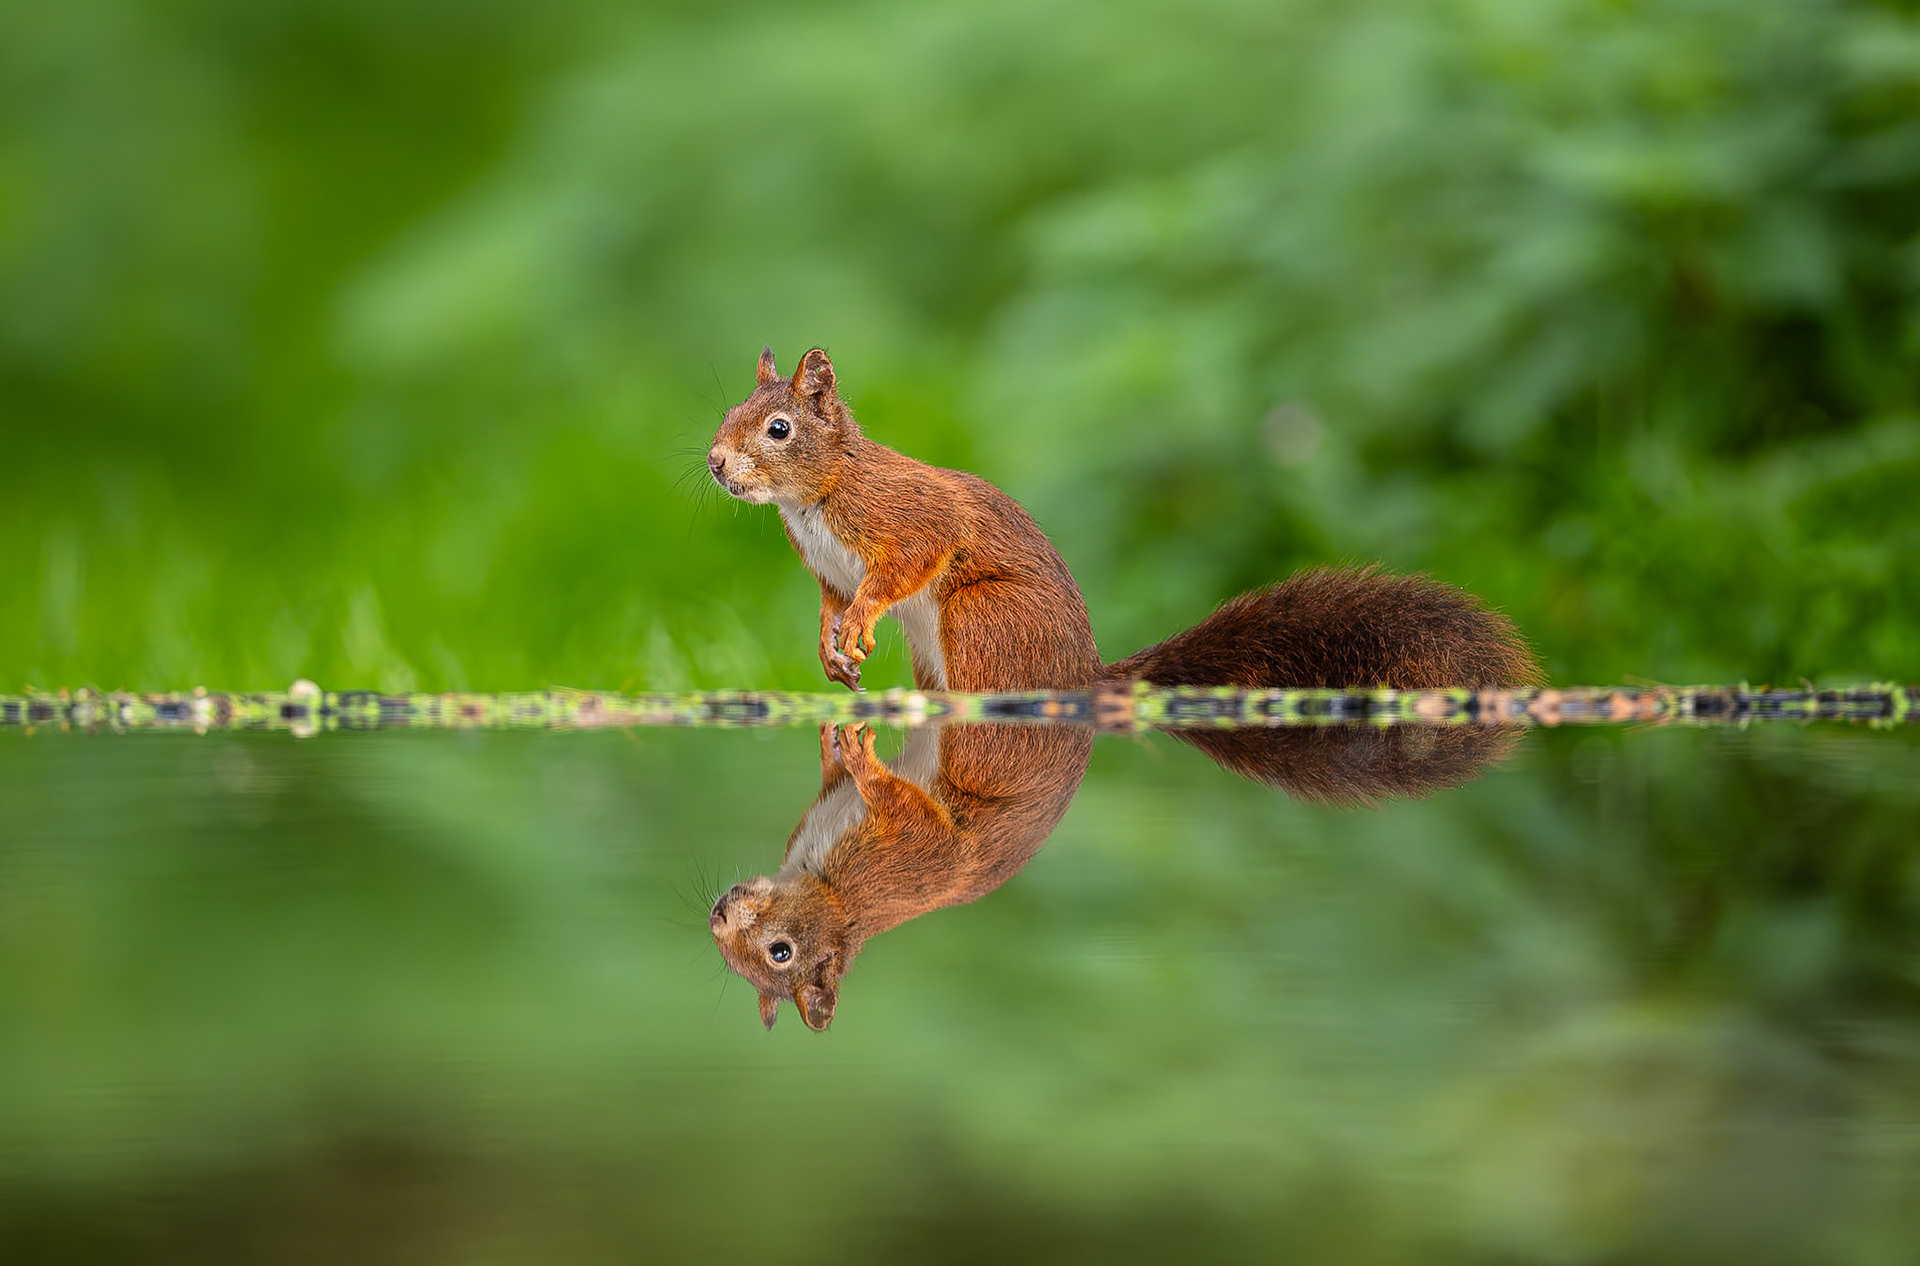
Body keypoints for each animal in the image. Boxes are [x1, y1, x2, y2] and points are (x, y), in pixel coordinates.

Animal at [705, 346, 1543, 1030]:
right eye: (728, 412)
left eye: (777, 428)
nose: (714, 463)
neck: (817, 496)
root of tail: (1084, 674)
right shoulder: (823, 573)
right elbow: (828, 607)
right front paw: (834, 655)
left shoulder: (904, 521)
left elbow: (899, 570)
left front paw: (859, 632)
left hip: (983, 621)